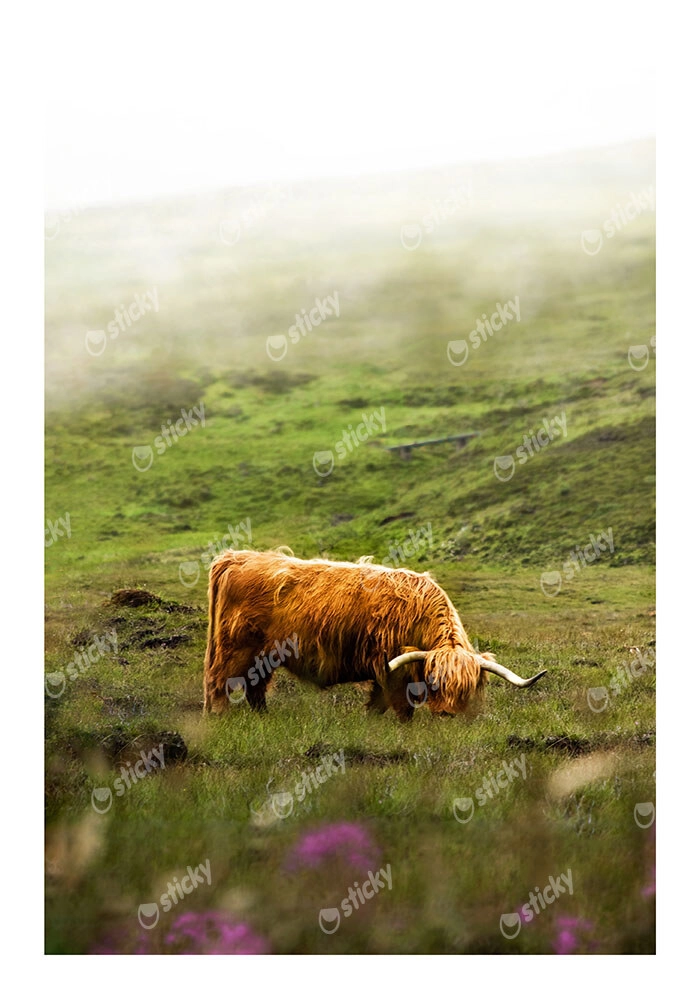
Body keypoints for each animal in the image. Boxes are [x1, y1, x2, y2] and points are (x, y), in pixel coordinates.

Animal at [203, 549, 546, 720]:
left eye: (465, 689)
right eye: (434, 683)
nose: (447, 715)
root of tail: (235, 557)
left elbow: (378, 704)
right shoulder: (392, 669)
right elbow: (401, 707)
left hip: (263, 656)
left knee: (255, 686)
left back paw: (263, 717)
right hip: (236, 648)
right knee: (219, 681)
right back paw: (219, 716)